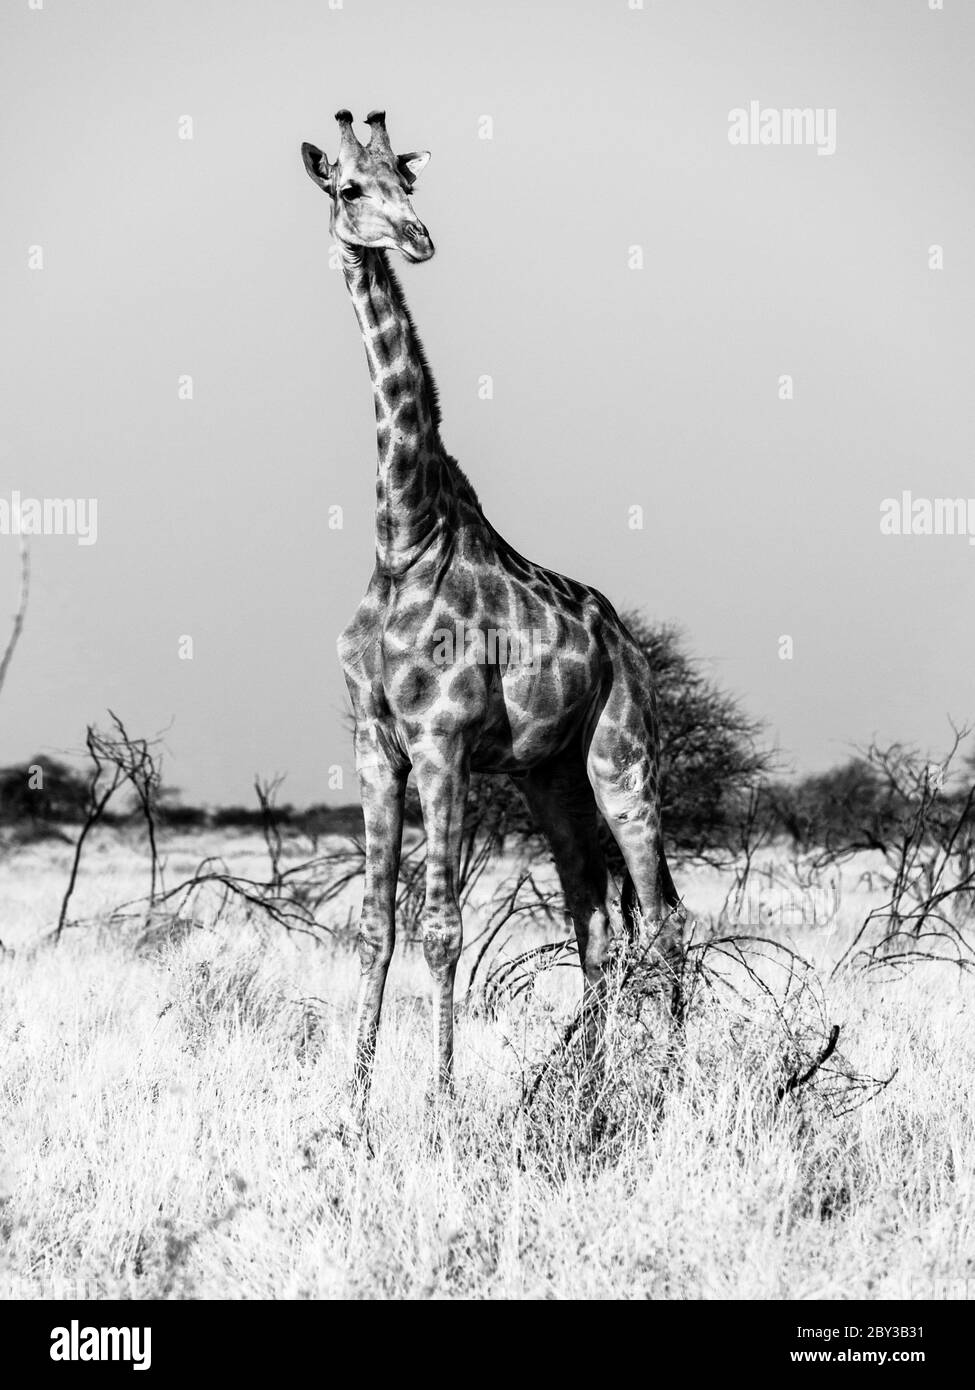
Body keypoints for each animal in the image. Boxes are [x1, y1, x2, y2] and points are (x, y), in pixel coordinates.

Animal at [300, 111, 681, 1128]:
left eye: (406, 179)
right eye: (347, 188)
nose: (418, 239)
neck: (404, 535)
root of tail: (628, 648)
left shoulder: (440, 741)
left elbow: (440, 926)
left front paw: (437, 1106)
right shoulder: (373, 742)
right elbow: (374, 924)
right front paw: (351, 1108)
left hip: (622, 760)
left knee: (663, 914)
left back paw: (675, 1086)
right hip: (550, 777)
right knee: (596, 919)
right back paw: (585, 1088)